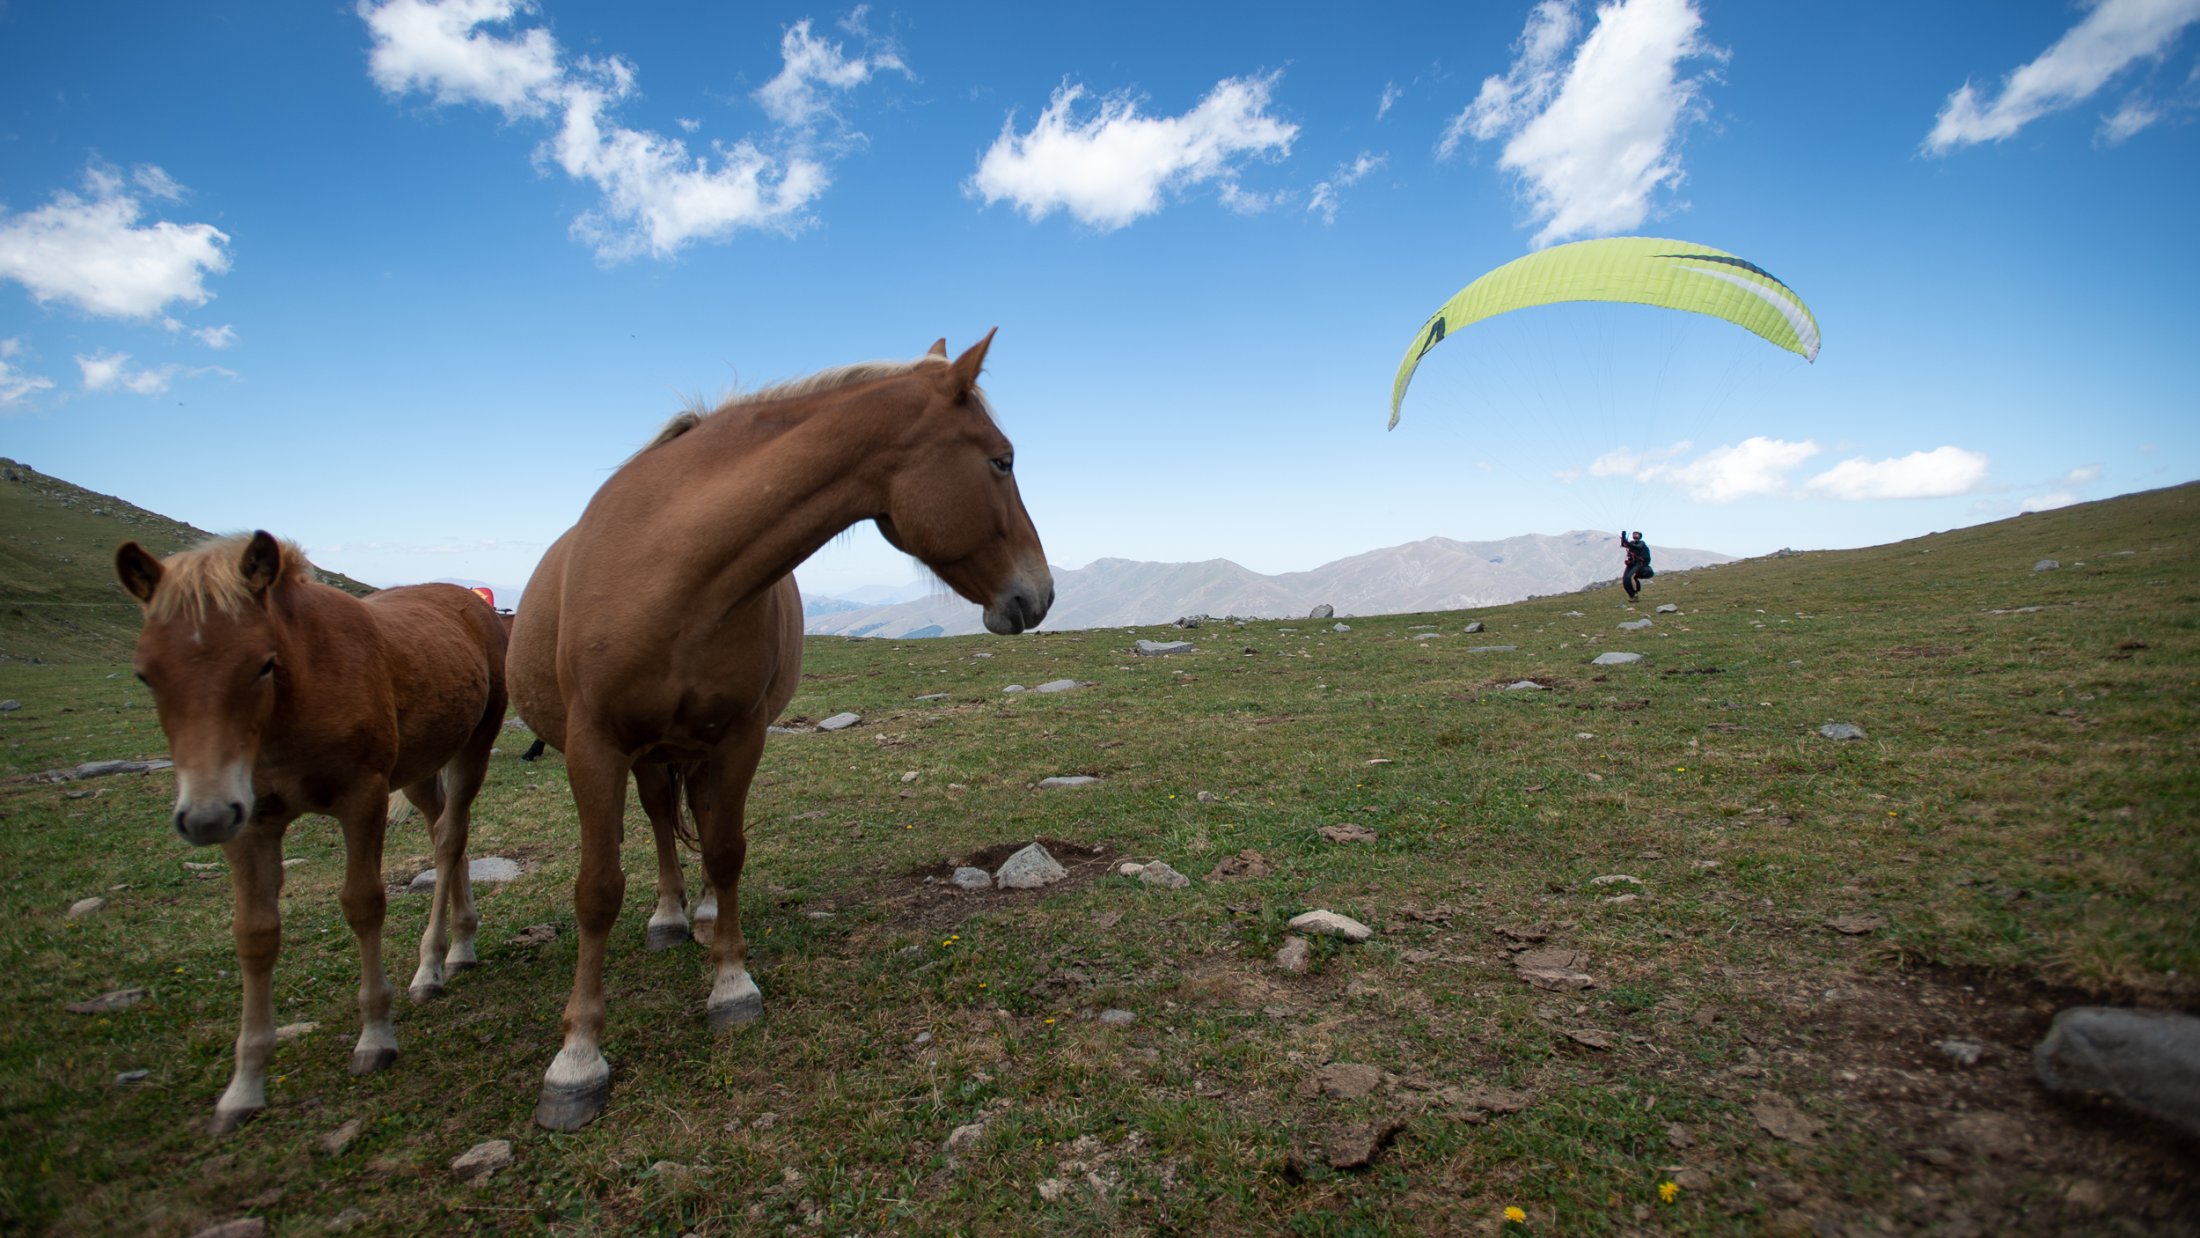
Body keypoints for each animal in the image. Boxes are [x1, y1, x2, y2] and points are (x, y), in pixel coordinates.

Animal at [113, 531, 509, 1133]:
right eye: (146, 674)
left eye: (262, 664)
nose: (204, 817)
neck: (296, 695)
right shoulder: (250, 821)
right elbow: (254, 934)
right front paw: (244, 1085)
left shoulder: (362, 797)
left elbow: (363, 904)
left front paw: (375, 1038)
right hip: (420, 768)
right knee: (446, 831)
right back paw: (453, 953)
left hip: (472, 747)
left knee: (450, 839)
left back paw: (435, 961)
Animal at [510, 331, 1052, 1130]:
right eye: (1002, 460)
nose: (1041, 594)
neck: (674, 567)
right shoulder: (593, 747)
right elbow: (597, 889)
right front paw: (577, 1058)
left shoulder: (739, 737)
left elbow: (727, 850)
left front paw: (731, 983)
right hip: (646, 753)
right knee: (659, 819)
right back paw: (670, 915)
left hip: (693, 746)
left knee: (693, 818)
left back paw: (702, 913)